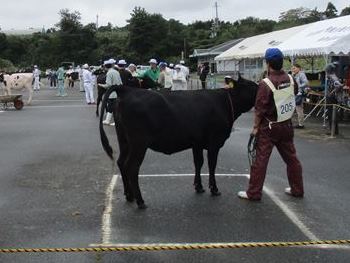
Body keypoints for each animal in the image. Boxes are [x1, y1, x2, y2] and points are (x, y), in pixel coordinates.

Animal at [100, 76, 258, 210]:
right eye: (252, 86)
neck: (225, 103)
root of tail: (127, 90)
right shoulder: (214, 142)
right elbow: (212, 165)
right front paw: (214, 189)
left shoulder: (197, 143)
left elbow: (198, 163)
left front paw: (198, 186)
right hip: (138, 143)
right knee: (132, 167)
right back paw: (140, 201)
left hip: (124, 140)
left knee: (121, 162)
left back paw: (129, 195)